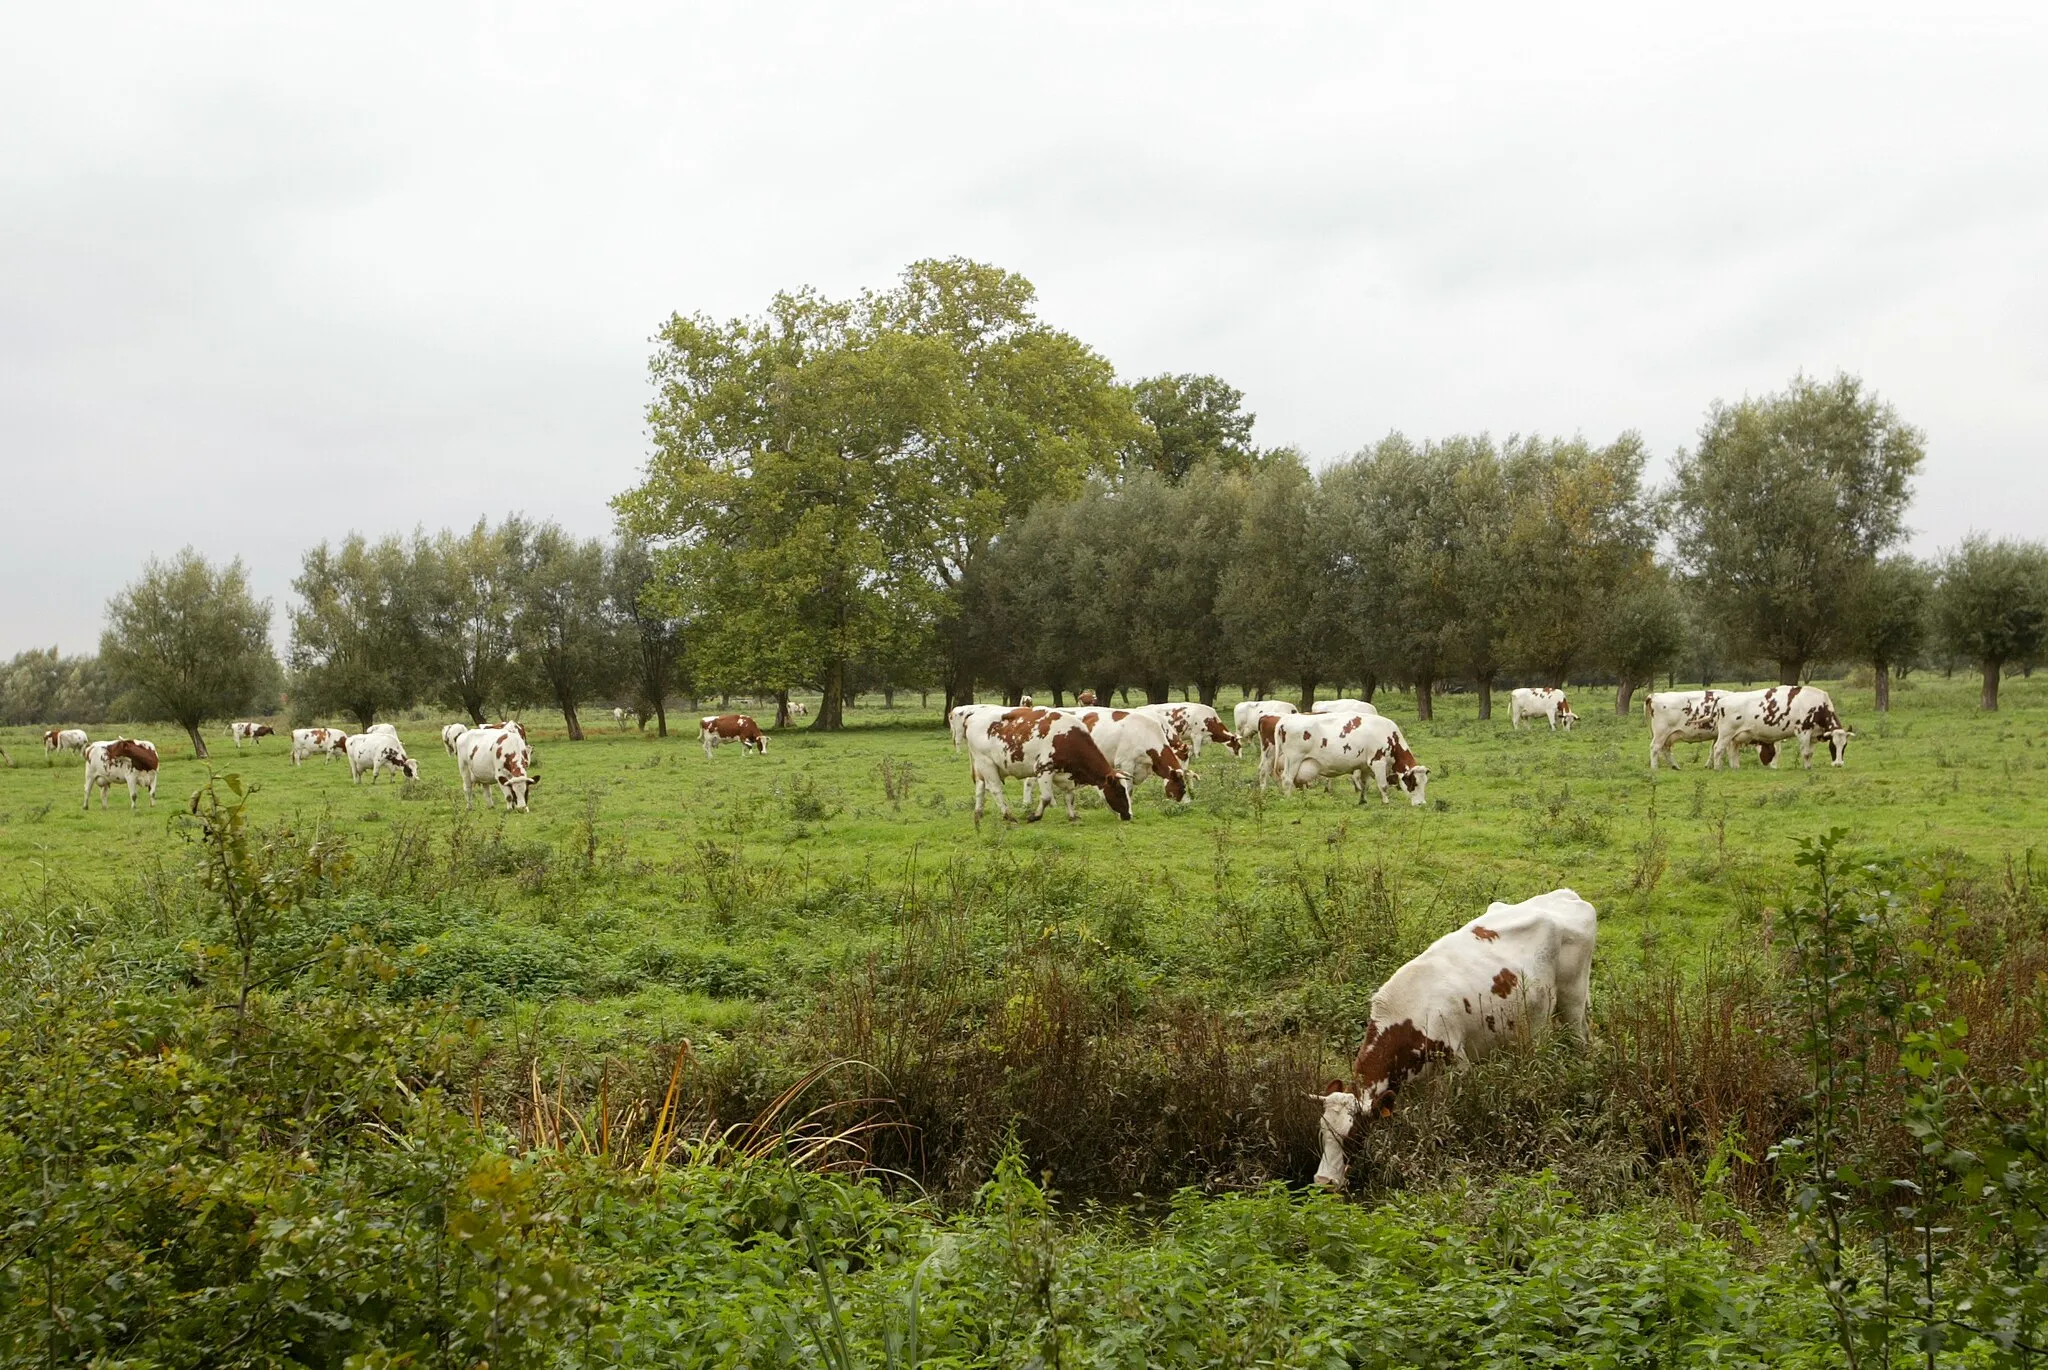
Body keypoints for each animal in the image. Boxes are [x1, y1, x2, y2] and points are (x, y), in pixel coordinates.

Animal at [962, 704, 1138, 823]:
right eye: (1119, 791)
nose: (1129, 815)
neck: (1067, 739)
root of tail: (974, 714)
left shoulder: (1068, 775)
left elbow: (1070, 797)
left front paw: (1072, 816)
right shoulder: (1044, 768)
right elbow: (1046, 797)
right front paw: (1034, 816)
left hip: (980, 766)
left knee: (980, 787)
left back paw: (978, 813)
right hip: (986, 763)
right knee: (995, 789)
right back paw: (1008, 815)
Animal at [1269, 712, 1433, 806]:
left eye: (1425, 783)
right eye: (1414, 783)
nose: (1422, 803)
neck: (1389, 736)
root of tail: (1284, 720)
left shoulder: (1365, 766)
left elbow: (1365, 784)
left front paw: (1363, 800)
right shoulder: (1378, 762)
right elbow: (1383, 785)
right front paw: (1386, 802)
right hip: (1293, 758)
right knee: (1287, 779)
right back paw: (1290, 800)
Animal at [1310, 888, 1597, 1187]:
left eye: (1352, 1136)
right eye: (1321, 1133)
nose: (1323, 1181)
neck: (1408, 1014)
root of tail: (1566, 895)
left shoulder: (1458, 1065)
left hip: (1573, 1000)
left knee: (1581, 1041)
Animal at [1703, 683, 1851, 769]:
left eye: (1844, 746)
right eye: (1832, 745)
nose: (1839, 764)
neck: (1818, 705)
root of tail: (1722, 699)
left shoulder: (1813, 735)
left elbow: (1810, 753)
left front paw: (1809, 767)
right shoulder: (1802, 731)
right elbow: (1806, 752)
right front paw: (1806, 768)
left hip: (1735, 737)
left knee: (1732, 751)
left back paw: (1735, 768)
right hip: (1725, 734)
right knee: (1718, 749)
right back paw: (1717, 768)